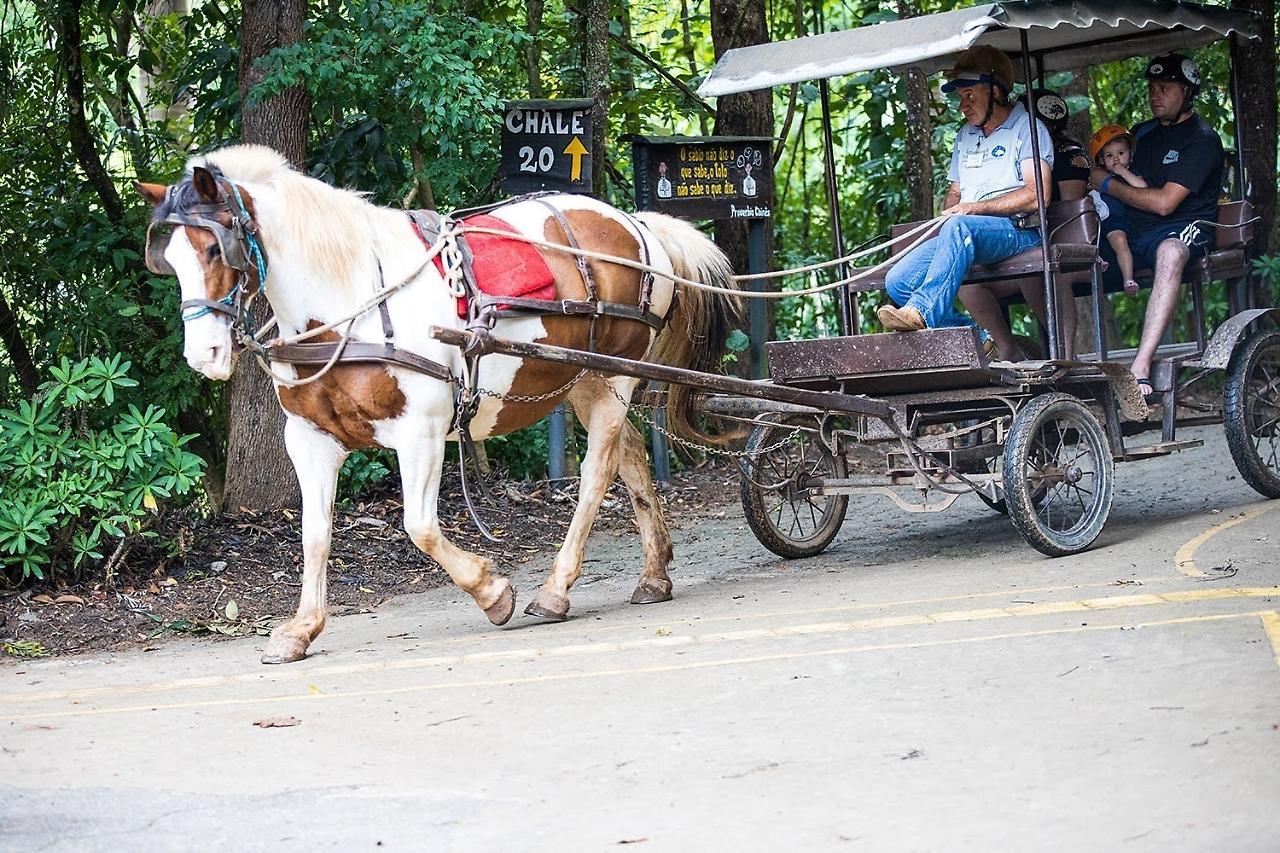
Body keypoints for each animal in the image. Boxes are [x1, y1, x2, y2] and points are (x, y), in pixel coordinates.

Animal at [137, 144, 742, 666]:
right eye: (169, 260)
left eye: (214, 248)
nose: (204, 354)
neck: (353, 299)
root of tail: (636, 224)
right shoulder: (309, 437)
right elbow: (314, 534)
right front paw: (302, 629)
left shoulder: (420, 430)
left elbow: (420, 526)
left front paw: (492, 591)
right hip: (580, 380)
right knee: (631, 456)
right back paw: (654, 575)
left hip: (614, 375)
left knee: (597, 472)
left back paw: (555, 589)